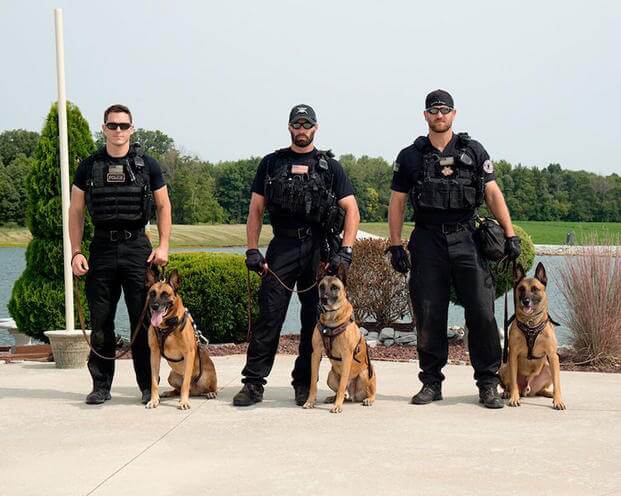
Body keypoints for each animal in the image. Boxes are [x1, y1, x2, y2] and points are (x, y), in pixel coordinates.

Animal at [144, 268, 217, 410]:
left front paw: (184, 402)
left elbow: (185, 383)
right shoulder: (154, 354)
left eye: (165, 295)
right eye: (152, 293)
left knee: (211, 387)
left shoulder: (189, 353)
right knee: (177, 389)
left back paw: (211, 393)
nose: (155, 306)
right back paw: (169, 393)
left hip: (207, 377)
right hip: (172, 376)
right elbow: (154, 381)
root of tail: (195, 391)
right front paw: (154, 400)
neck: (167, 326)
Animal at [302, 268, 376, 414]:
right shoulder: (316, 354)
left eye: (334, 287)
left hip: (366, 374)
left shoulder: (347, 356)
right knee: (343, 394)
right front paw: (310, 401)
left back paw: (368, 399)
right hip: (331, 375)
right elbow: (313, 382)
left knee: (369, 392)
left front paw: (337, 406)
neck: (331, 320)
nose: (323, 299)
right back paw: (333, 397)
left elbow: (342, 385)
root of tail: (353, 395)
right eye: (321, 287)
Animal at [496, 262, 564, 408]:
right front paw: (514, 398)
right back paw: (508, 393)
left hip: (548, 367)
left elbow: (557, 383)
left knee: (541, 389)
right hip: (505, 367)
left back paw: (549, 393)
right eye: (521, 289)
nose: (525, 301)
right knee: (510, 385)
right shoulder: (513, 355)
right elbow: (513, 383)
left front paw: (558, 400)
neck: (531, 323)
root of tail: (527, 388)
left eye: (535, 289)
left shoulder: (553, 356)